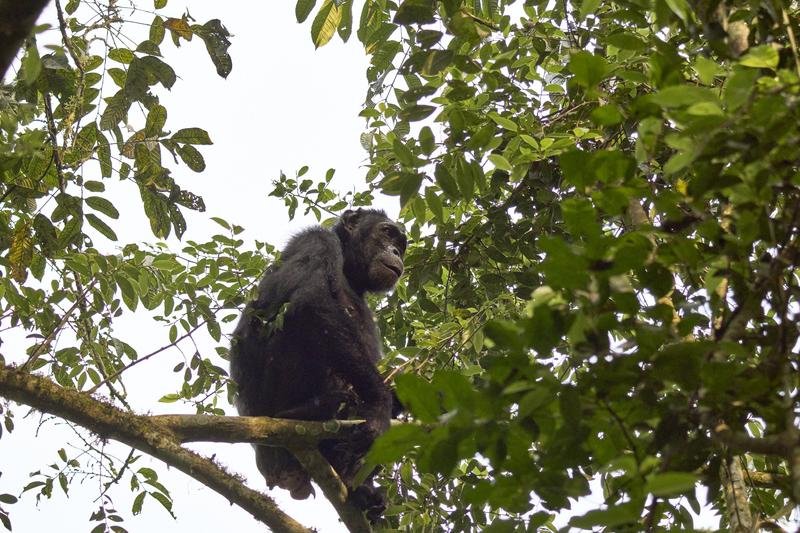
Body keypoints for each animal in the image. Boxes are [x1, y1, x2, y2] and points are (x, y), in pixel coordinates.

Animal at [231, 209, 406, 520]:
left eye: (401, 244)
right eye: (386, 232)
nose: (396, 251)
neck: (349, 269)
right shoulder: (316, 240)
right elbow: (311, 300)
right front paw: (379, 406)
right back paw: (310, 411)